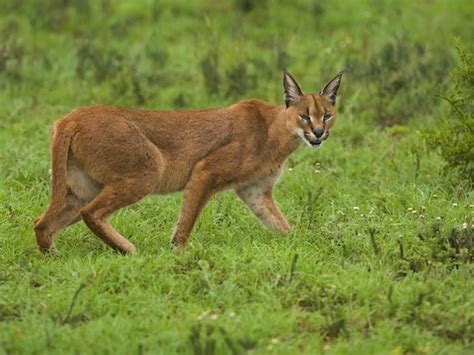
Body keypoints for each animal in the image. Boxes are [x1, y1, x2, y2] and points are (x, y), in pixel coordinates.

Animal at [34, 70, 344, 253]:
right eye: (305, 115)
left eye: (327, 115)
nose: (319, 132)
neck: (279, 133)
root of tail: (71, 117)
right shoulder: (205, 170)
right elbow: (187, 219)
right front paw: (178, 255)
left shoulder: (255, 191)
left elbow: (280, 224)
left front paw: (303, 244)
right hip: (148, 169)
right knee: (91, 213)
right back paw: (130, 251)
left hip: (81, 188)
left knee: (42, 222)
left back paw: (52, 258)